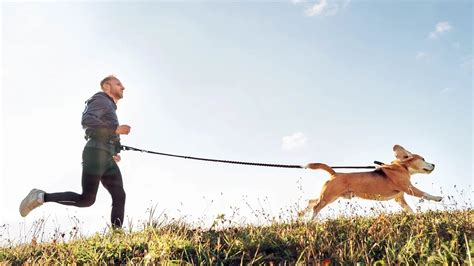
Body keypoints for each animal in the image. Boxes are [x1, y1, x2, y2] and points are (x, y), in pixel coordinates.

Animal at [298, 144, 442, 219]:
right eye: (423, 159)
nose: (434, 164)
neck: (402, 167)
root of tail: (334, 173)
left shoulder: (399, 198)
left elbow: (409, 209)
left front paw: (415, 217)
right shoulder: (409, 188)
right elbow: (424, 194)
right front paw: (438, 198)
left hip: (331, 196)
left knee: (311, 201)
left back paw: (301, 215)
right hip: (329, 196)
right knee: (316, 207)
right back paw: (311, 221)